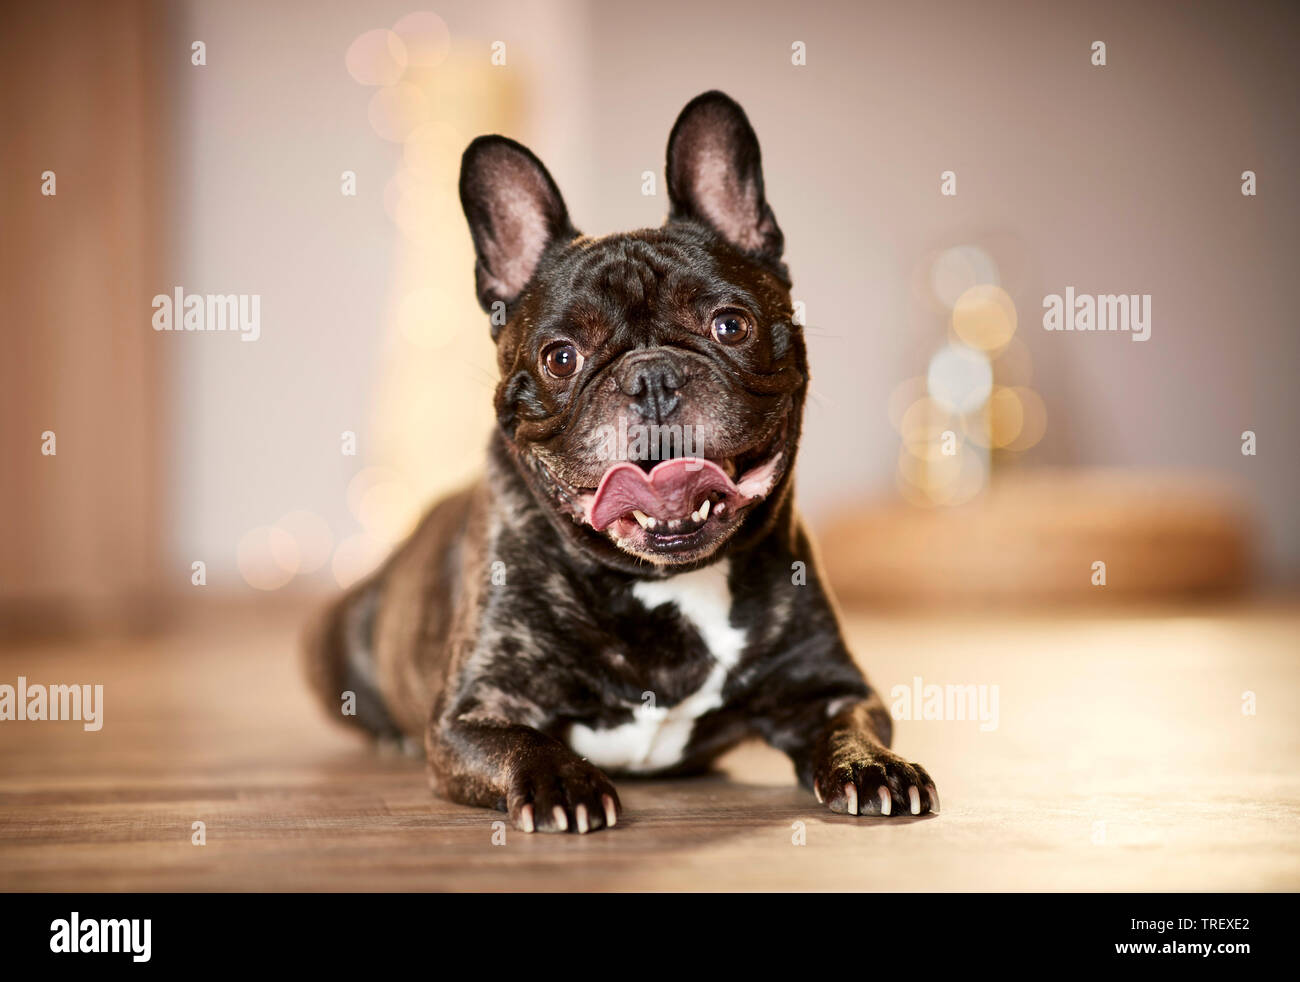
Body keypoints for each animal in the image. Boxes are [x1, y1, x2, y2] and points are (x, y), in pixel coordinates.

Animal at [309, 92, 941, 832]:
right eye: (561, 356)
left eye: (731, 325)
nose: (653, 377)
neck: (666, 582)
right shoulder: (476, 712)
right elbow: (524, 740)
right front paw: (563, 782)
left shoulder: (830, 688)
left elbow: (853, 724)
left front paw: (874, 767)